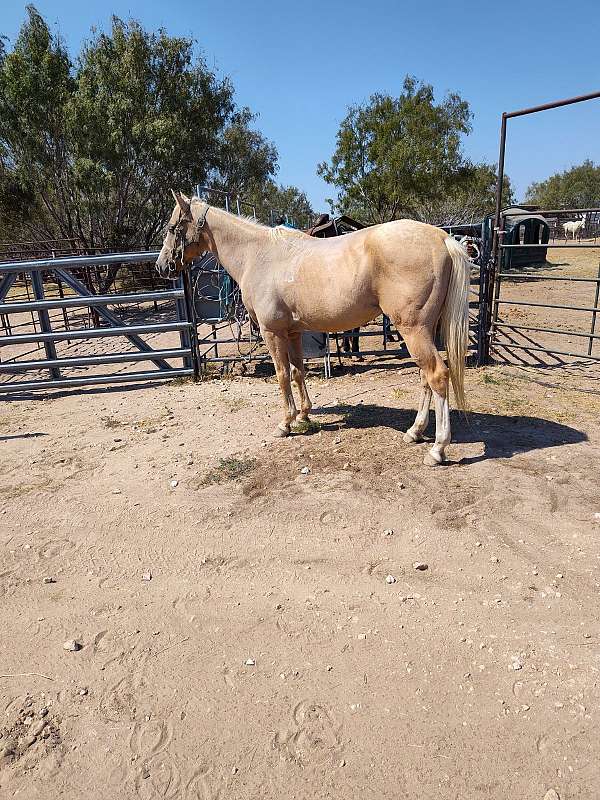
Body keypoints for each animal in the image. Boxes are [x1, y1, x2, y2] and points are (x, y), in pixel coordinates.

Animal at [157, 194, 472, 466]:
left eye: (172, 227)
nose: (161, 266)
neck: (257, 255)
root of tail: (443, 238)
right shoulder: (293, 333)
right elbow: (299, 372)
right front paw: (304, 416)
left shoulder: (273, 333)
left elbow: (282, 375)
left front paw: (286, 423)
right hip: (424, 330)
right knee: (424, 378)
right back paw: (415, 432)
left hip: (413, 330)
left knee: (437, 375)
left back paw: (437, 449)